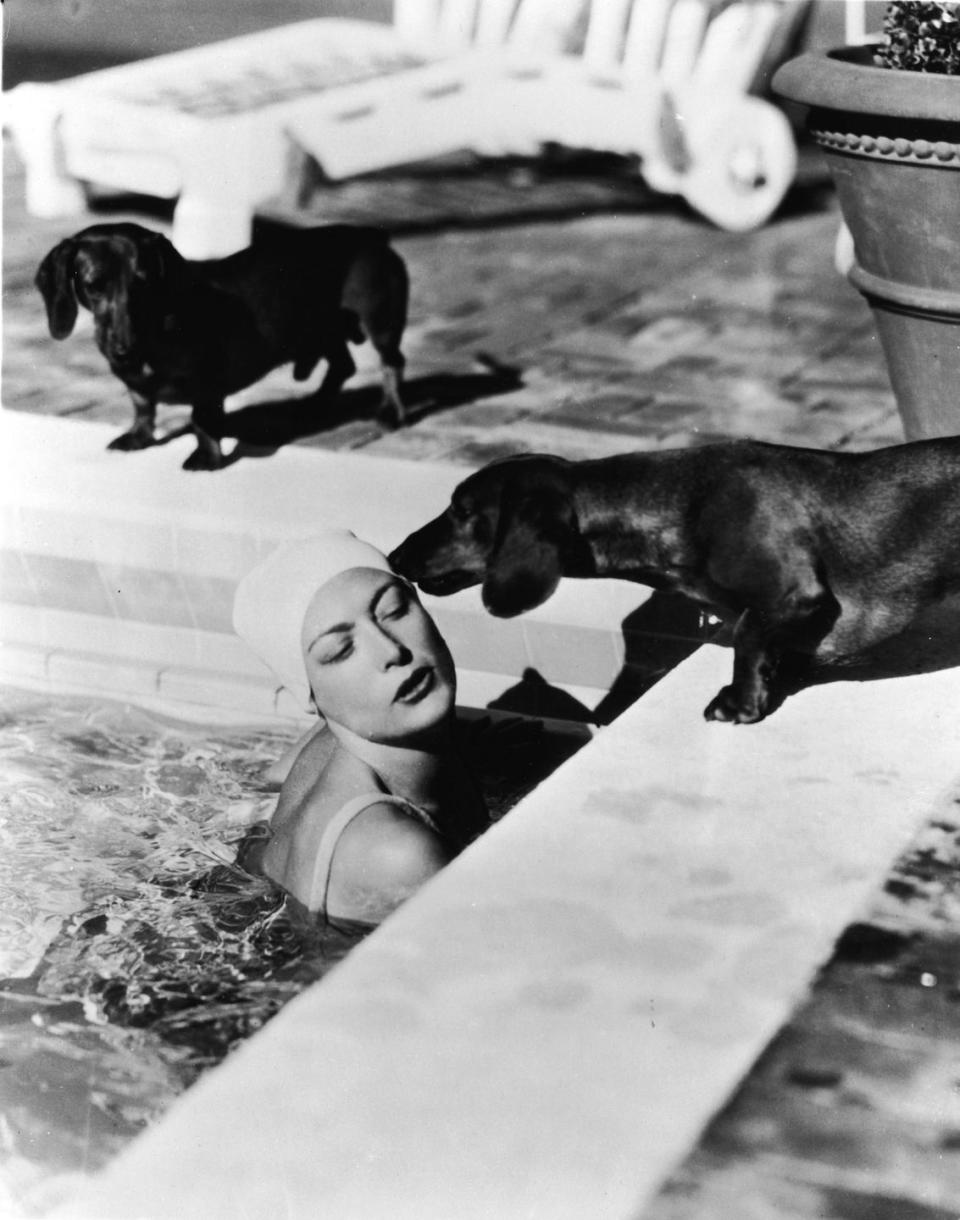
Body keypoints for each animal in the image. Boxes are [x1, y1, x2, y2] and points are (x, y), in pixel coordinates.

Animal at [36, 219, 409, 466]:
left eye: (144, 283)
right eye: (93, 285)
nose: (124, 350)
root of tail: (373, 236)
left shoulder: (208, 382)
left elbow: (203, 418)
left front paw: (206, 457)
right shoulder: (136, 385)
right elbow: (143, 407)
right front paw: (138, 437)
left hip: (379, 321)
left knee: (391, 362)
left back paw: (390, 413)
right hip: (321, 330)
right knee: (343, 366)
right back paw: (312, 407)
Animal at [387, 441, 960, 717]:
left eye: (463, 510)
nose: (394, 555)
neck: (683, 499)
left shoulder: (795, 595)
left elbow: (748, 633)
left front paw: (741, 701)